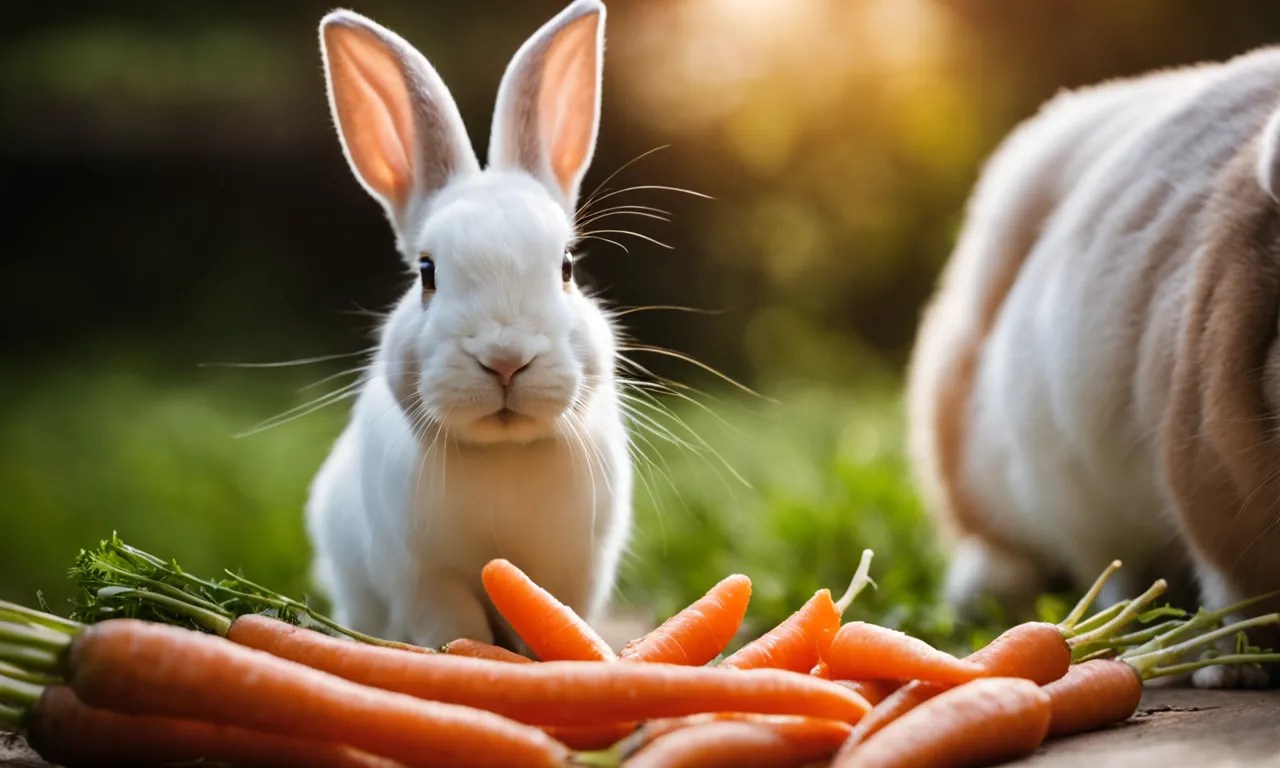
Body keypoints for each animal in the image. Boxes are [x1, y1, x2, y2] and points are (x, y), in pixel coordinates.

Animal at [305, 0, 632, 650]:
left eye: (566, 266)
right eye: (427, 272)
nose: (505, 359)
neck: (502, 454)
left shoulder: (573, 571)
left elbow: (548, 620)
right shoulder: (424, 579)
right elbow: (457, 632)